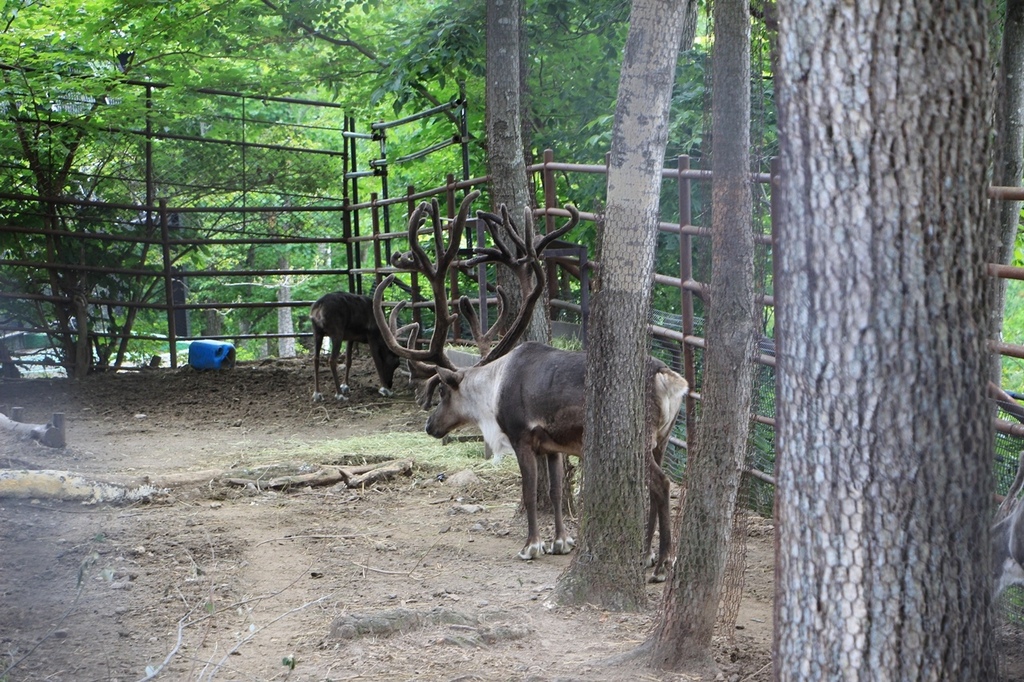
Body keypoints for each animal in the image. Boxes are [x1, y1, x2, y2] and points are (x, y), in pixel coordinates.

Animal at [374, 189, 688, 577]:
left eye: (444, 392)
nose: (429, 426)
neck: (494, 388)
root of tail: (670, 378)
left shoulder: (521, 436)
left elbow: (527, 490)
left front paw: (531, 546)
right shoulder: (551, 446)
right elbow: (554, 491)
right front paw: (561, 541)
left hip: (640, 438)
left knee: (662, 484)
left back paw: (663, 562)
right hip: (662, 438)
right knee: (655, 489)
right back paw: (646, 555)